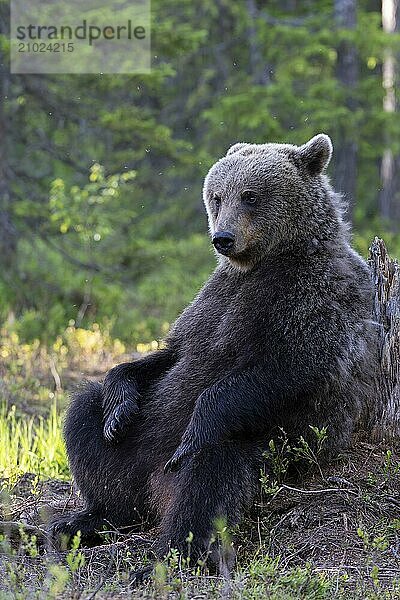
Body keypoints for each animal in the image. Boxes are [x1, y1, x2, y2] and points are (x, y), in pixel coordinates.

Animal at [50, 135, 376, 572]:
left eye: (250, 195)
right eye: (217, 196)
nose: (223, 237)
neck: (267, 261)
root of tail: (153, 482)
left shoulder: (312, 295)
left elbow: (287, 366)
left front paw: (198, 424)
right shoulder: (215, 299)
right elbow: (175, 351)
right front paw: (119, 401)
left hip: (266, 444)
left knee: (209, 480)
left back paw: (172, 550)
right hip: (137, 441)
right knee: (86, 421)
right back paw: (89, 516)